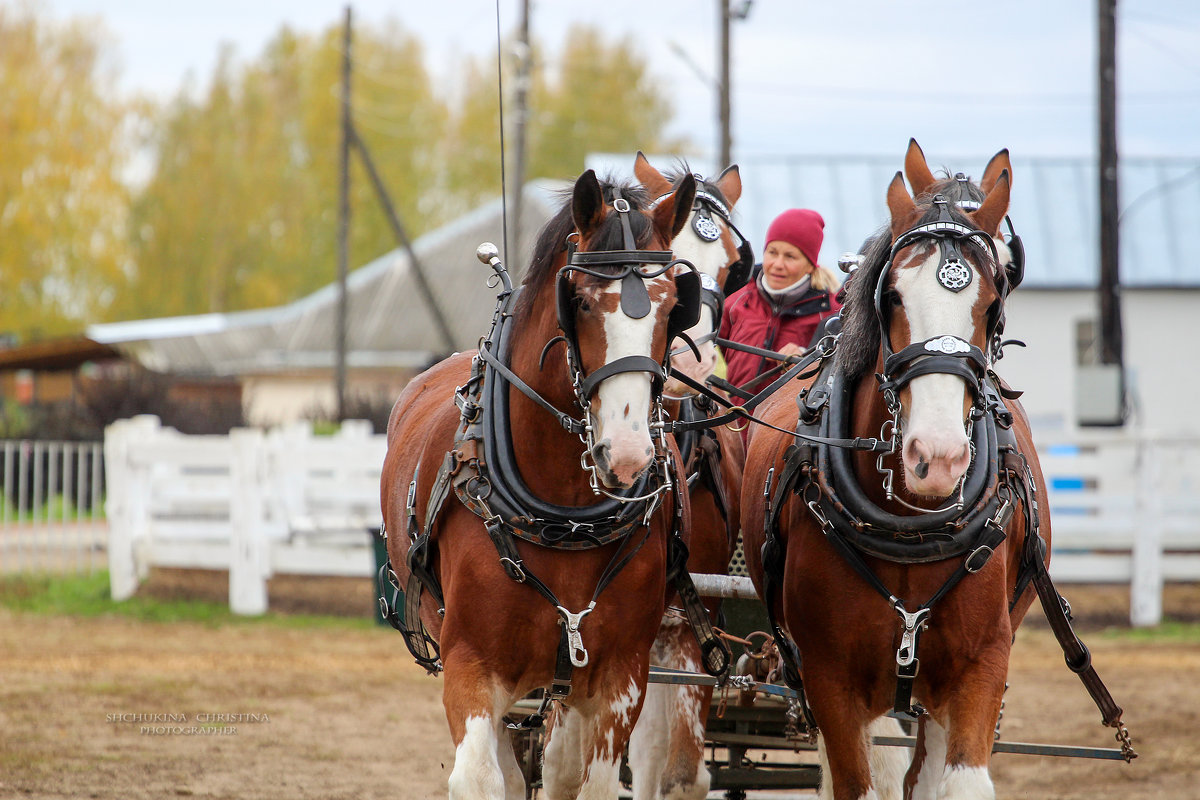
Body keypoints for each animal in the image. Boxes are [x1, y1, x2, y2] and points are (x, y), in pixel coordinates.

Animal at [379, 170, 700, 800]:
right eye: (579, 301)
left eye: (675, 307)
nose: (627, 455)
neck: (565, 518)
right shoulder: (471, 665)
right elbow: (481, 778)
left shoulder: (620, 675)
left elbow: (590, 781)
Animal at [739, 143, 1051, 800]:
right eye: (895, 298)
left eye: (994, 302)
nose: (938, 458)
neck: (912, 526)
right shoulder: (830, 677)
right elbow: (859, 781)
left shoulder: (981, 665)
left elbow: (958, 782)